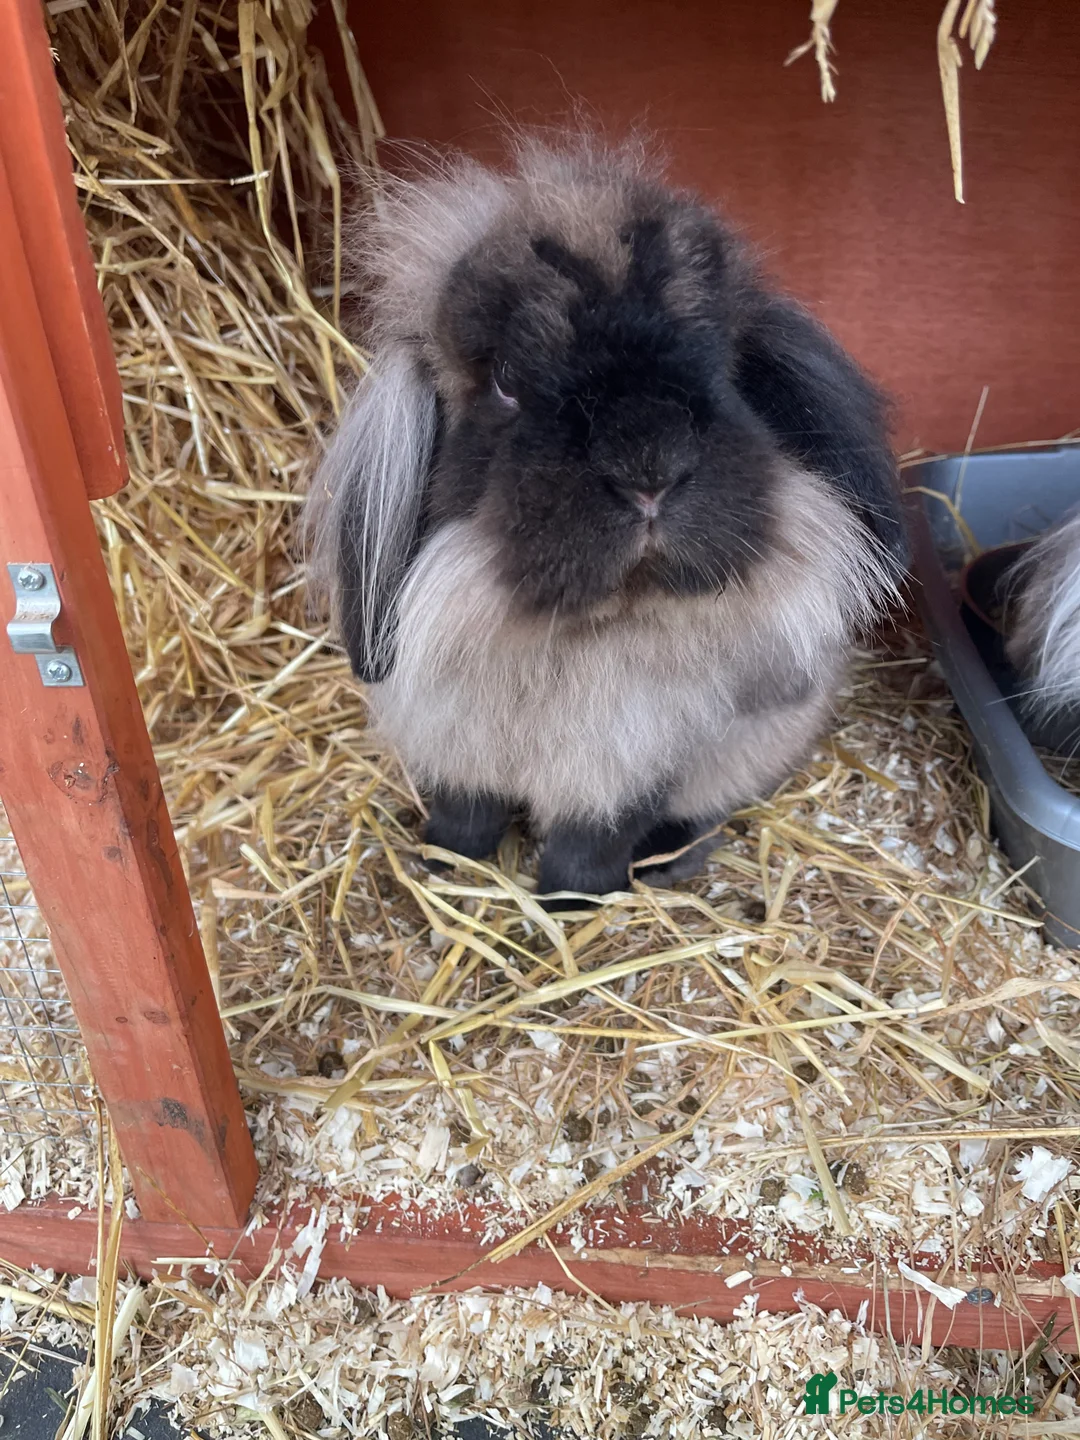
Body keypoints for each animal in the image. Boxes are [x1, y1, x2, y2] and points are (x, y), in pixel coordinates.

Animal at [306, 134, 906, 900]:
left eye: (723, 364)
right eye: (505, 383)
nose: (650, 470)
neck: (586, 634)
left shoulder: (637, 772)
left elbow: (587, 848)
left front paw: (565, 905)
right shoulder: (457, 750)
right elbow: (466, 817)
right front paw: (443, 869)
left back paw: (670, 860)